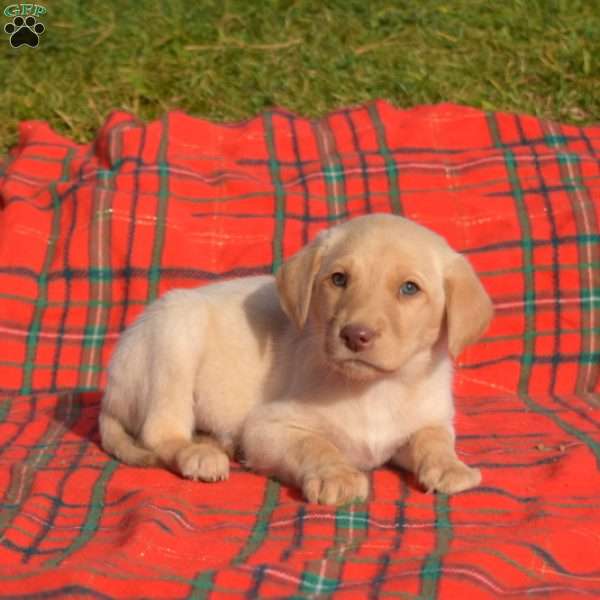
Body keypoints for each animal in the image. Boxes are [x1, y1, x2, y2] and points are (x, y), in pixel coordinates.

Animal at [99, 213, 492, 504]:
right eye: (339, 279)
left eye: (410, 288)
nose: (355, 335)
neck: (377, 388)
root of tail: (108, 396)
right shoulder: (267, 427)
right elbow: (314, 444)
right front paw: (337, 475)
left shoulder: (429, 420)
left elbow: (433, 440)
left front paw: (449, 466)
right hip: (176, 331)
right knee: (159, 432)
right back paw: (197, 454)